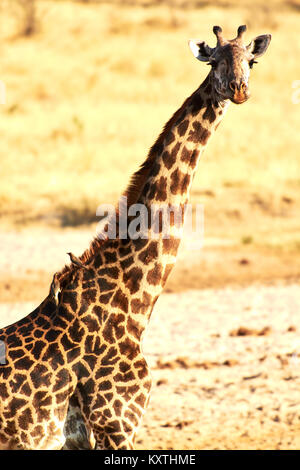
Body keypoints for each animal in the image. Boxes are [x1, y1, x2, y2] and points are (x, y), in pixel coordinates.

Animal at [0, 26, 270, 452]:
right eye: (214, 61)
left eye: (251, 61)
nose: (238, 89)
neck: (131, 306)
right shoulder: (116, 423)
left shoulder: (81, 436)